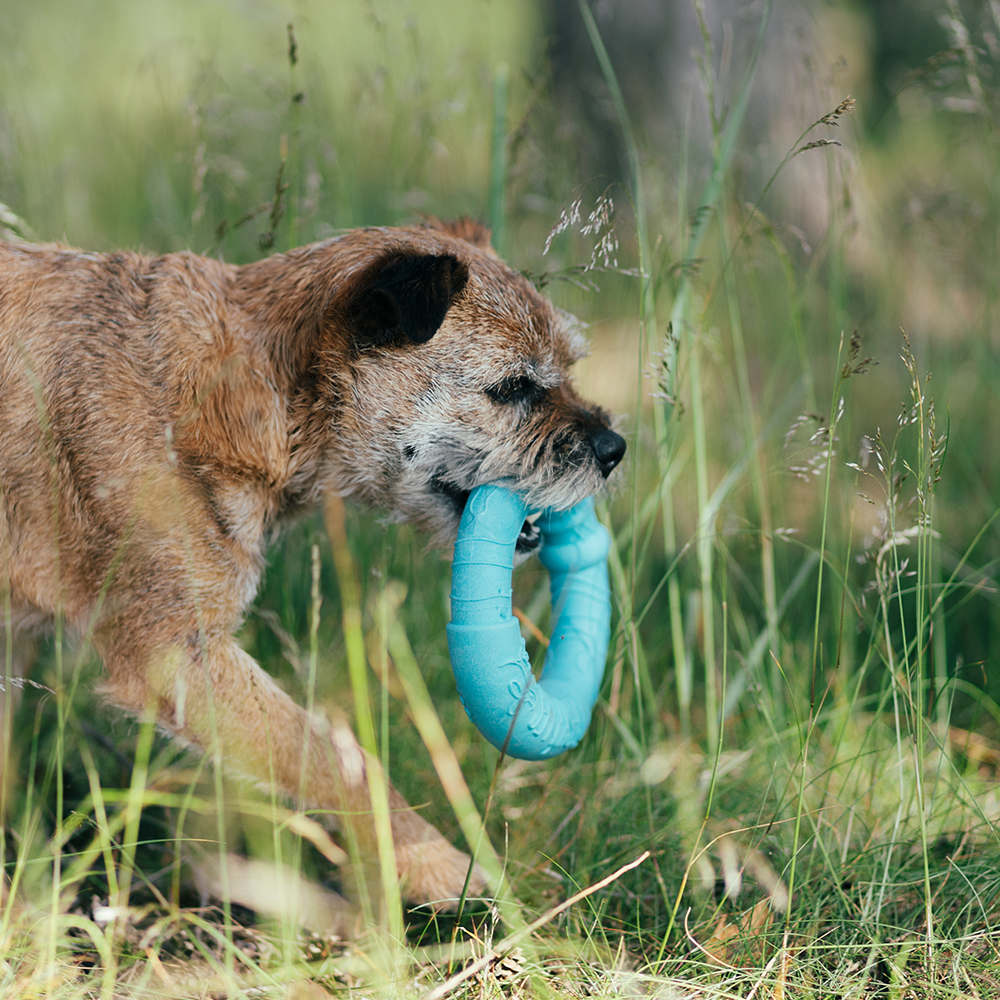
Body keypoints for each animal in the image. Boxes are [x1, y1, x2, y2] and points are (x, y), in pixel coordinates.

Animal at [0, 219, 624, 908]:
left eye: (566, 371)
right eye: (512, 389)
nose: (614, 447)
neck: (243, 391)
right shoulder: (177, 653)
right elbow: (337, 760)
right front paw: (439, 865)